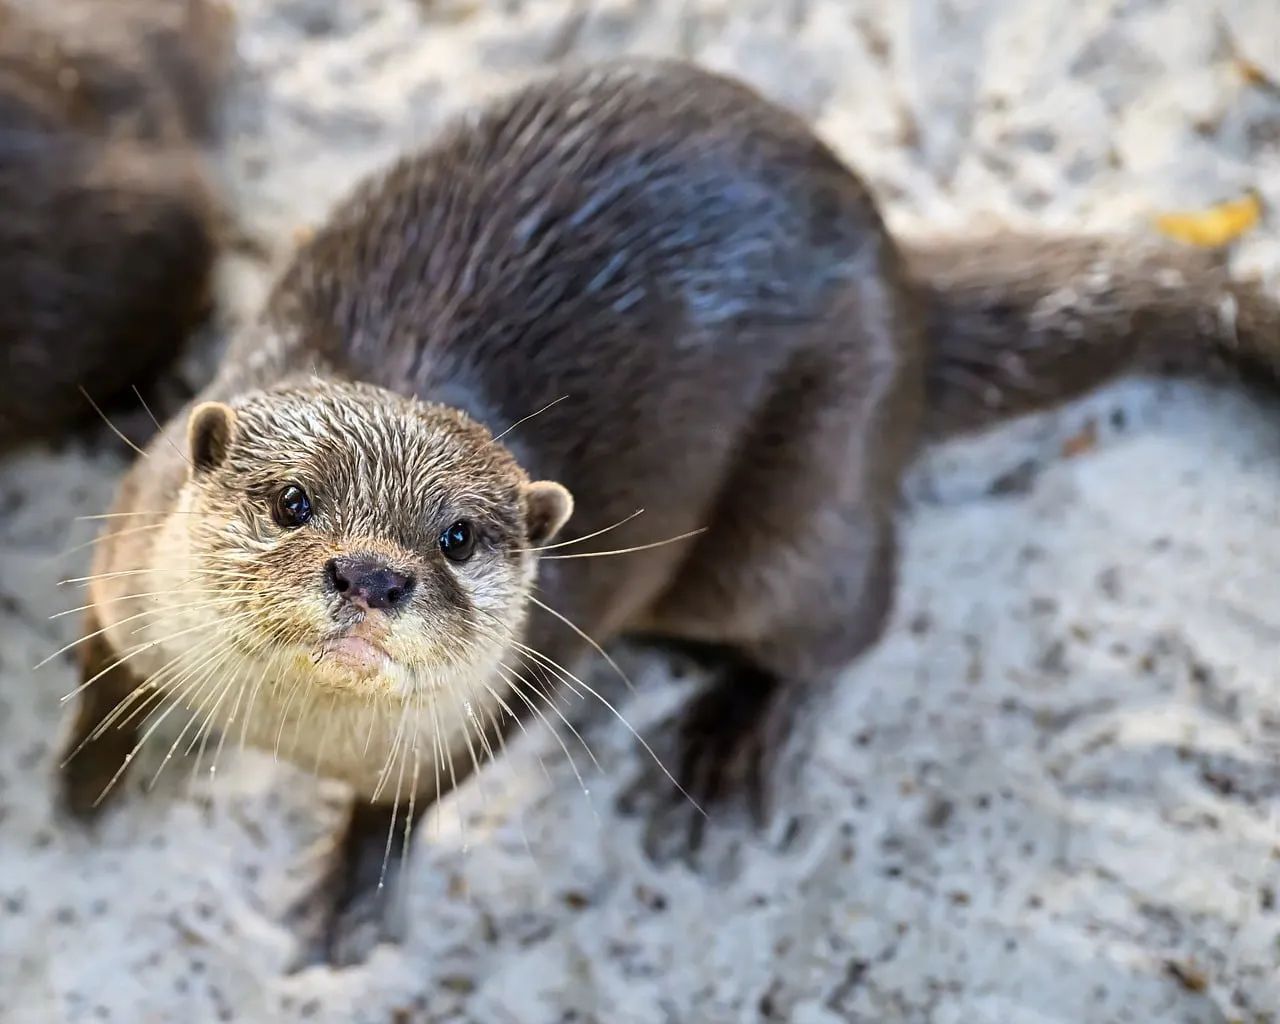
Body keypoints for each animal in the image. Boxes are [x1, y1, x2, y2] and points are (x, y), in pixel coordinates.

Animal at [52, 59, 1280, 961]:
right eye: (294, 500)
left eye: (456, 537)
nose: (372, 575)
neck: (289, 736)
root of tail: (904, 287)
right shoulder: (123, 564)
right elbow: (102, 679)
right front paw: (82, 785)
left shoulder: (516, 683)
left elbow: (401, 807)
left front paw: (347, 901)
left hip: (799, 511)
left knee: (850, 612)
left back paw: (725, 758)